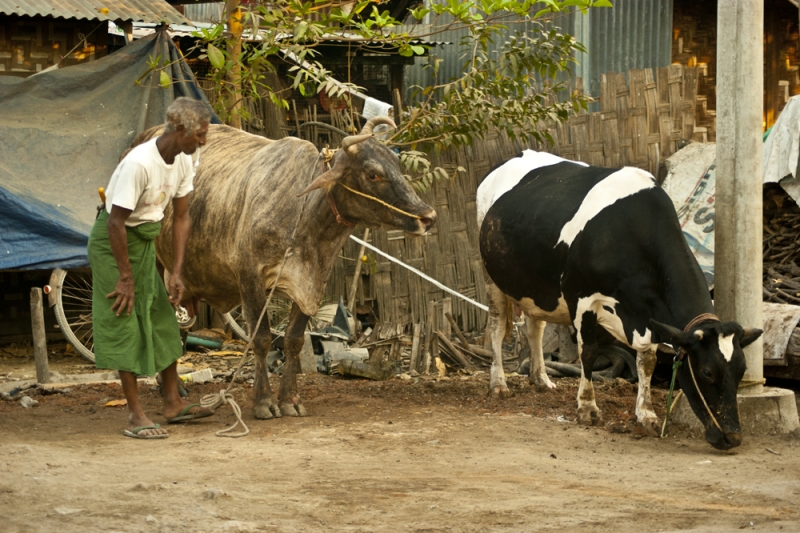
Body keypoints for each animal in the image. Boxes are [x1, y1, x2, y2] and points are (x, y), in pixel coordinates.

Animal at [478, 150, 760, 448]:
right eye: (706, 371)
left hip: (536, 287)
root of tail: (518, 155)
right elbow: (588, 352)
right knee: (496, 327)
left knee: (535, 328)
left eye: (742, 370)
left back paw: (541, 379)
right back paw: (498, 384)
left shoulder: (649, 317)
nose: (733, 437)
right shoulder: (582, 300)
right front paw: (587, 408)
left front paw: (646, 415)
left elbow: (647, 362)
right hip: (490, 276)